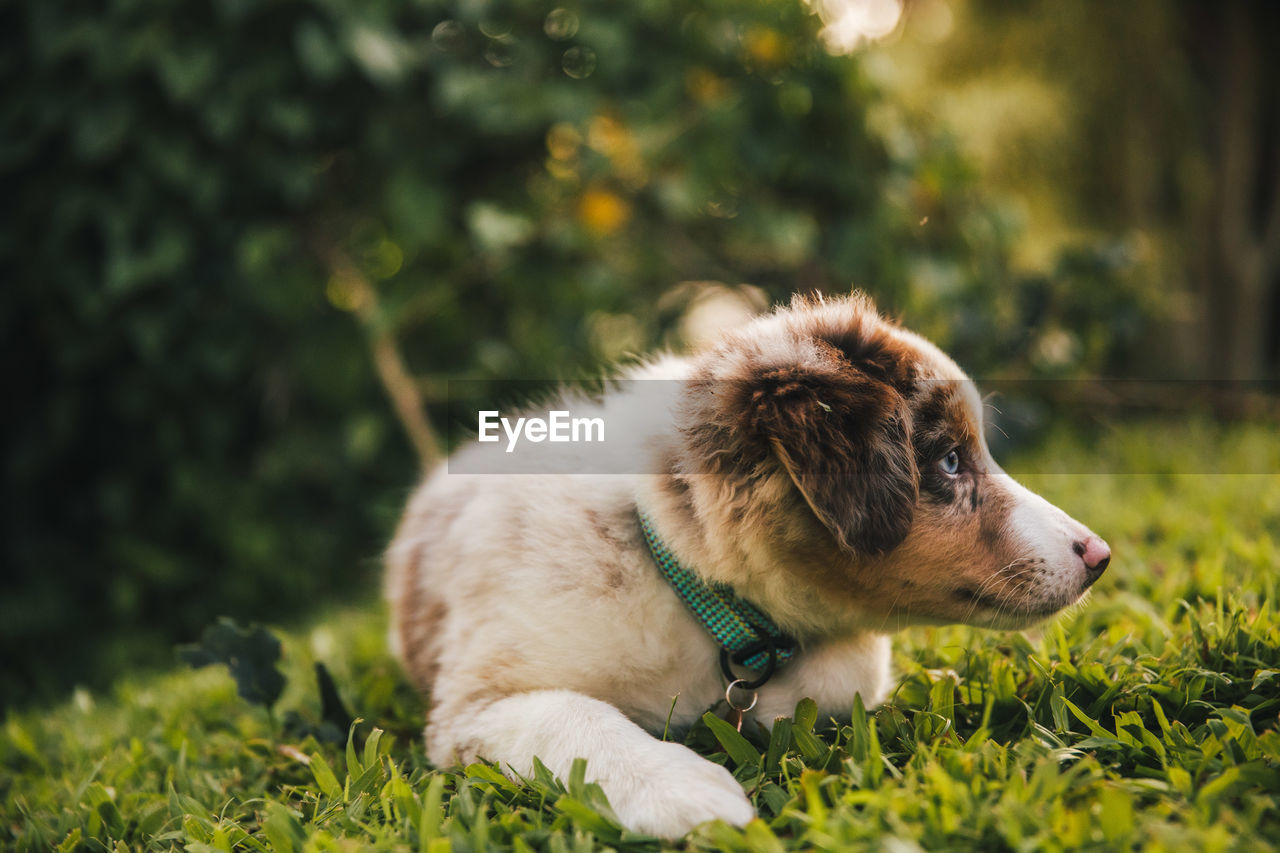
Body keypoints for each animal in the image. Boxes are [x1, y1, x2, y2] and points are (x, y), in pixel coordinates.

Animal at [381, 292, 1111, 829]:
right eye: (952, 461)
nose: (1099, 555)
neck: (680, 580)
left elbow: (846, 671)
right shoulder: (475, 701)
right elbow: (576, 716)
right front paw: (685, 791)